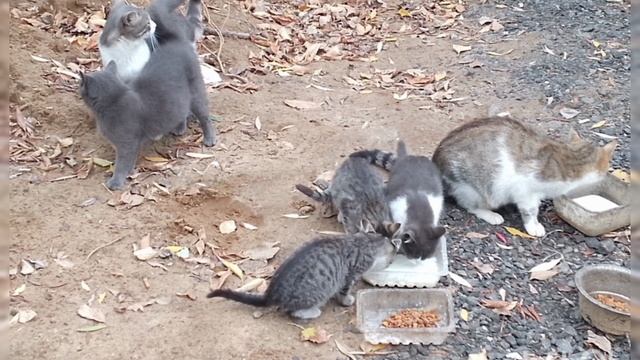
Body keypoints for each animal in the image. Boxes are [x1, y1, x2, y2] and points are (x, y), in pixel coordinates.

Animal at [208, 226, 400, 320]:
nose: (391, 263)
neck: (367, 241)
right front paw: (346, 301)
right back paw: (312, 312)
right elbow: (344, 291)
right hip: (314, 294)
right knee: (294, 312)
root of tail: (271, 294)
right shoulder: (350, 275)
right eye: (391, 261)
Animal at [432, 116, 616, 238]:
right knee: (469, 205)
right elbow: (530, 210)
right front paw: (533, 226)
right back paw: (491, 215)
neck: (568, 159)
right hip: (472, 189)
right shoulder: (525, 191)